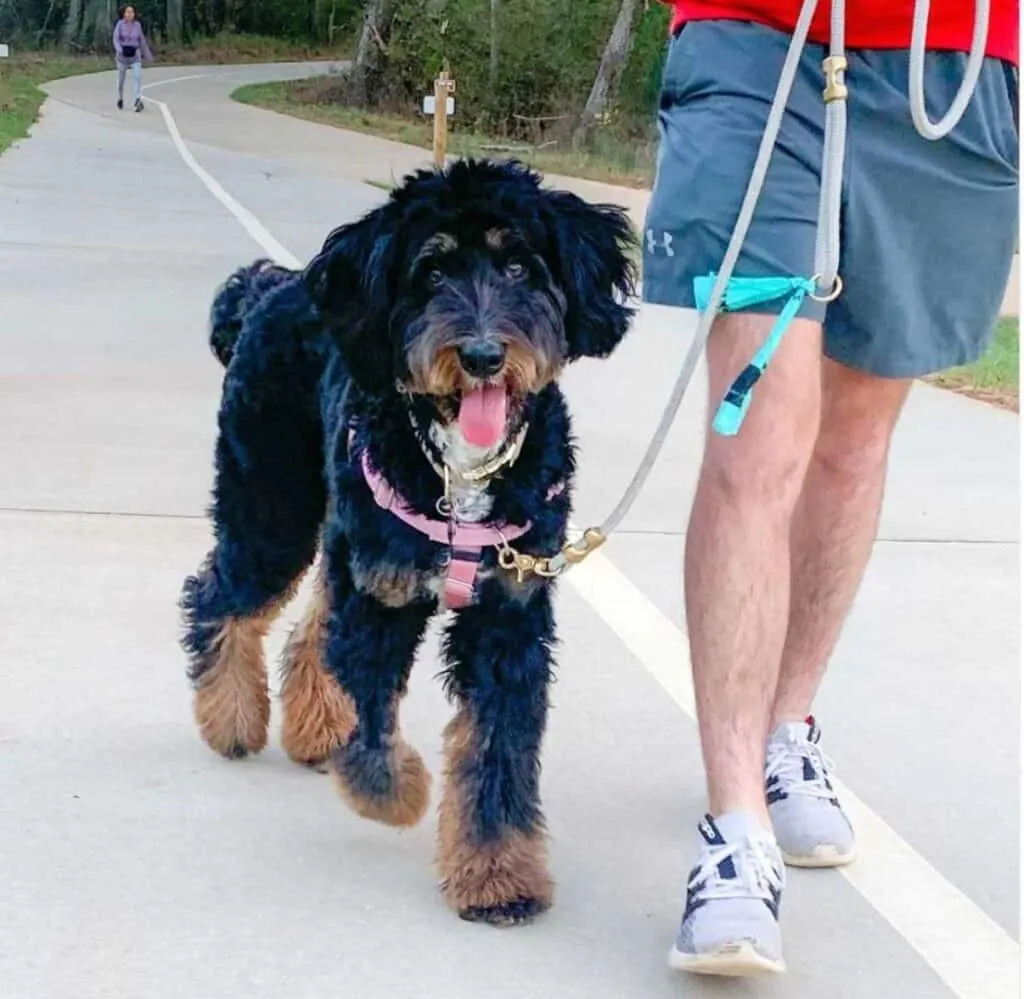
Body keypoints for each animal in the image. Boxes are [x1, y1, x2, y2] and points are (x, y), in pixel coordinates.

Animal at [180, 157, 634, 929]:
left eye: (520, 265)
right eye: (432, 272)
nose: (482, 355)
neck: (461, 470)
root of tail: (270, 287)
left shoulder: (509, 616)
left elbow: (496, 752)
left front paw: (498, 876)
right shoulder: (383, 597)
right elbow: (373, 730)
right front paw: (398, 794)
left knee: (311, 626)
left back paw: (312, 730)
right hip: (272, 502)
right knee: (220, 595)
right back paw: (233, 720)